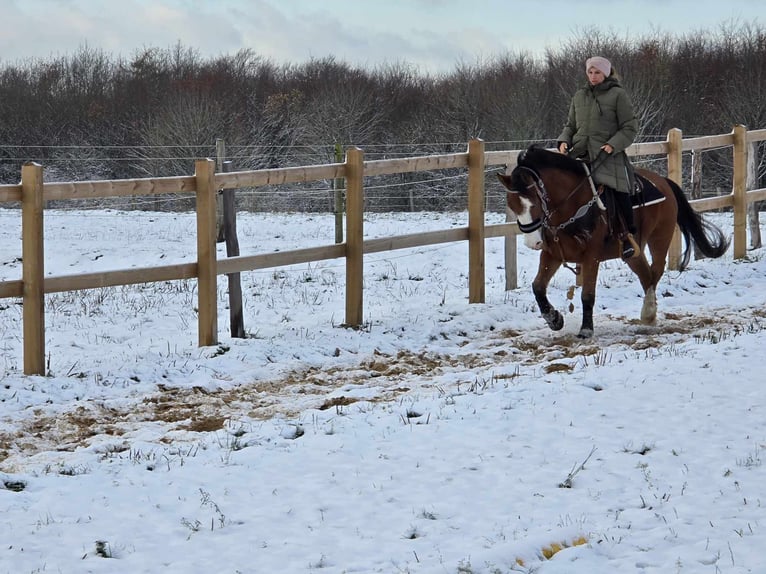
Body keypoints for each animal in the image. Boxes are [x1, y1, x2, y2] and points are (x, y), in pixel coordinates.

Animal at [498, 146, 732, 340]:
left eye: (535, 201)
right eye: (512, 204)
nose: (533, 242)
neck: (572, 206)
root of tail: (664, 181)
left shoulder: (591, 257)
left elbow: (587, 295)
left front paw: (586, 330)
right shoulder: (552, 254)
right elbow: (538, 287)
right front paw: (555, 319)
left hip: (660, 238)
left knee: (656, 271)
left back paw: (648, 311)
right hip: (633, 252)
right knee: (645, 274)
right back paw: (649, 315)